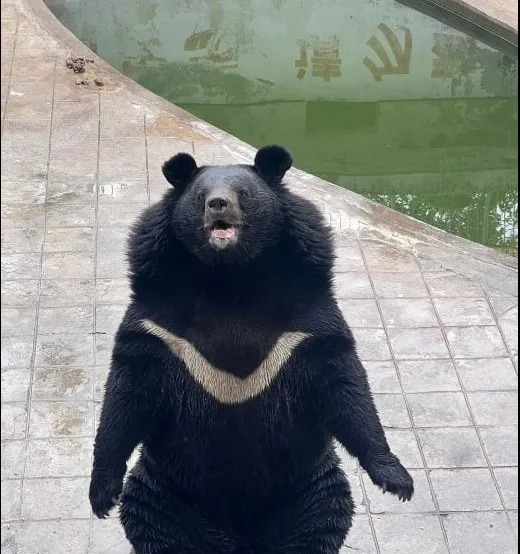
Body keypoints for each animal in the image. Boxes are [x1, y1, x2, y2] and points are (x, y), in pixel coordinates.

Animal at [90, 146, 414, 552]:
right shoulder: (158, 327)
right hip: (167, 492)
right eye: (201, 196)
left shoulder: (306, 324)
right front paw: (101, 496)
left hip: (307, 490)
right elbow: (125, 396)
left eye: (242, 193)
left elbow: (346, 387)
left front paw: (397, 480)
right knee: (156, 527)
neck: (230, 279)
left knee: (318, 525)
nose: (218, 204)